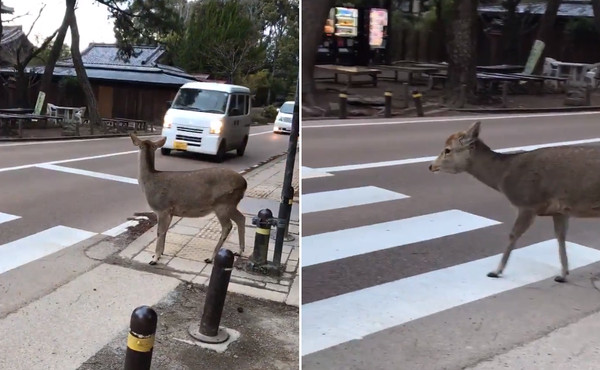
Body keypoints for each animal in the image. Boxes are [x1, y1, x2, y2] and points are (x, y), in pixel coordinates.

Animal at [130, 133, 247, 266]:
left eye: (139, 146)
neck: (148, 182)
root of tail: (244, 183)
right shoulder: (170, 211)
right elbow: (165, 231)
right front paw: (159, 254)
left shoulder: (162, 208)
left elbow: (160, 232)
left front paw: (154, 259)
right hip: (231, 204)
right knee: (241, 218)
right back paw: (239, 251)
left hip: (223, 203)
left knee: (227, 226)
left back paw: (211, 258)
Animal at [426, 121, 600, 284]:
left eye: (447, 149)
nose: (431, 166)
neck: (503, 177)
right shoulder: (559, 210)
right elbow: (560, 236)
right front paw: (563, 274)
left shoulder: (527, 204)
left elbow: (513, 234)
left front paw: (495, 271)